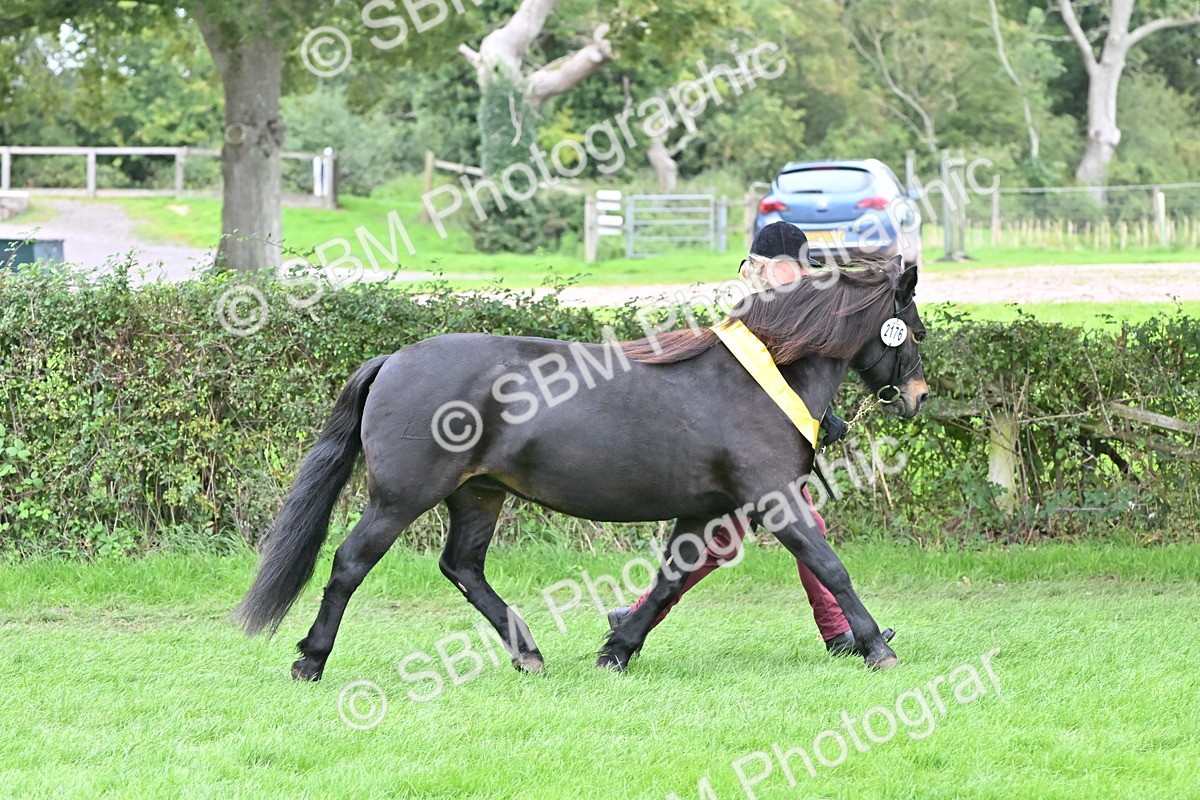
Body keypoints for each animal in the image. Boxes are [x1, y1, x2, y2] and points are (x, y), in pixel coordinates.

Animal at [234, 256, 928, 680]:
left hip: (478, 494)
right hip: (400, 498)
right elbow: (830, 567)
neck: (758, 380)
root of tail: (394, 361)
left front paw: (618, 650)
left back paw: (529, 654)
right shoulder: (775, 500)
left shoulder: (705, 511)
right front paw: (875, 646)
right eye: (915, 329)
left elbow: (671, 580)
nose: (919, 397)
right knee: (350, 564)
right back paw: (310, 660)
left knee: (462, 567)